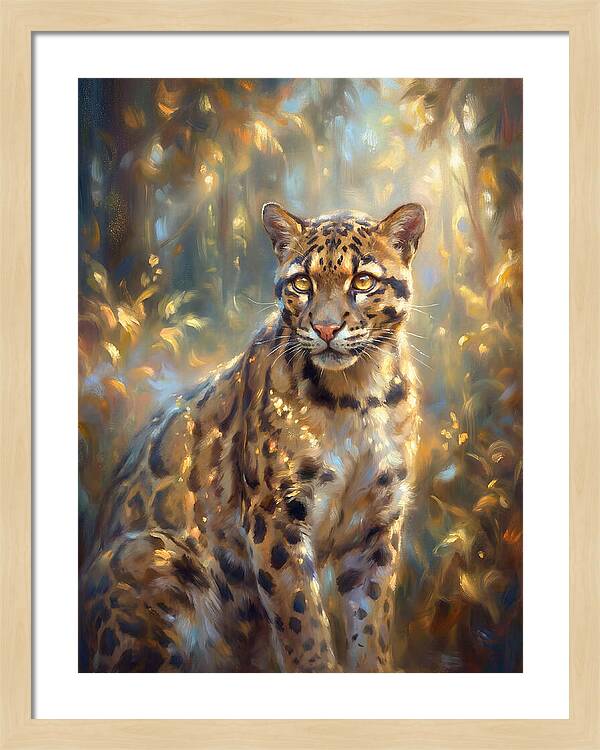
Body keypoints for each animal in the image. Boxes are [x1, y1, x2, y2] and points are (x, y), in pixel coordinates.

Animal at [80, 200, 426, 672]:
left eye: (363, 281)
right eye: (302, 282)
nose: (326, 328)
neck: (357, 397)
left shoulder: (377, 522)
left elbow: (371, 620)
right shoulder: (276, 515)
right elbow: (302, 620)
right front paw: (318, 666)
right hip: (154, 556)